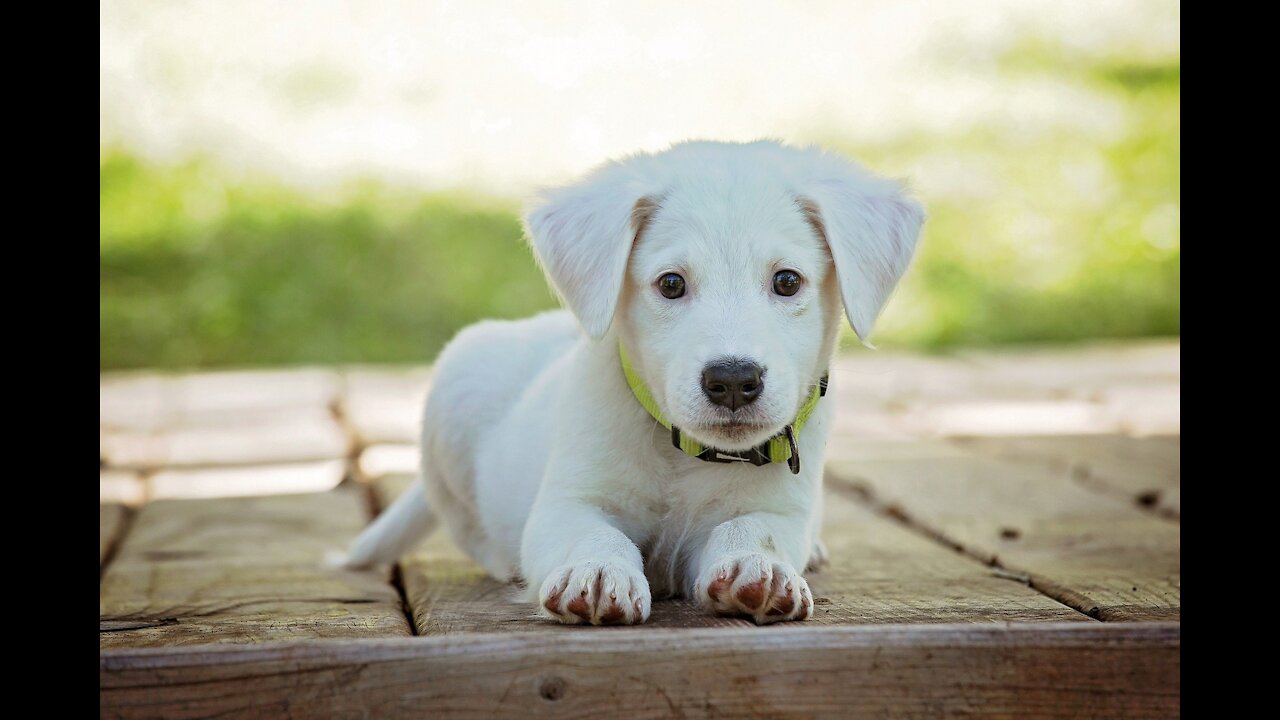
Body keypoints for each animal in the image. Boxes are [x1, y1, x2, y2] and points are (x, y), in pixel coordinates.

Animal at [340, 140, 921, 622]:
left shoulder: (780, 510)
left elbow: (752, 528)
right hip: (455, 393)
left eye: (786, 281)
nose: (734, 380)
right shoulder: (567, 503)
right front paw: (598, 572)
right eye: (671, 284)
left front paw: (759, 568)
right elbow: (594, 534)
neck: (684, 455)